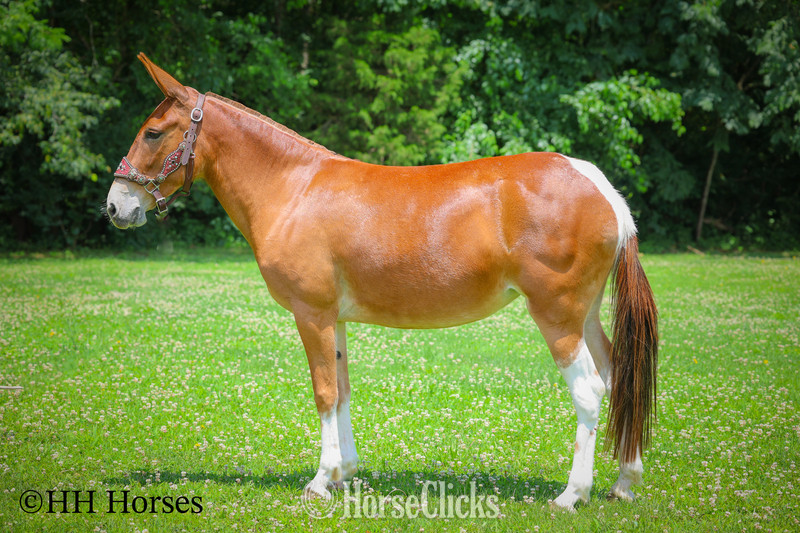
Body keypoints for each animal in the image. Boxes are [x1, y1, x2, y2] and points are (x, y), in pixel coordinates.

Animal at [106, 53, 657, 511]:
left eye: (153, 132)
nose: (114, 206)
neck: (293, 187)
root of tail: (600, 187)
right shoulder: (335, 319)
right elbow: (343, 388)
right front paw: (344, 473)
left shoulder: (311, 314)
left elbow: (324, 391)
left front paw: (319, 480)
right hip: (586, 315)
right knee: (617, 377)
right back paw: (624, 482)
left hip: (557, 315)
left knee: (589, 390)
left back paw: (572, 494)